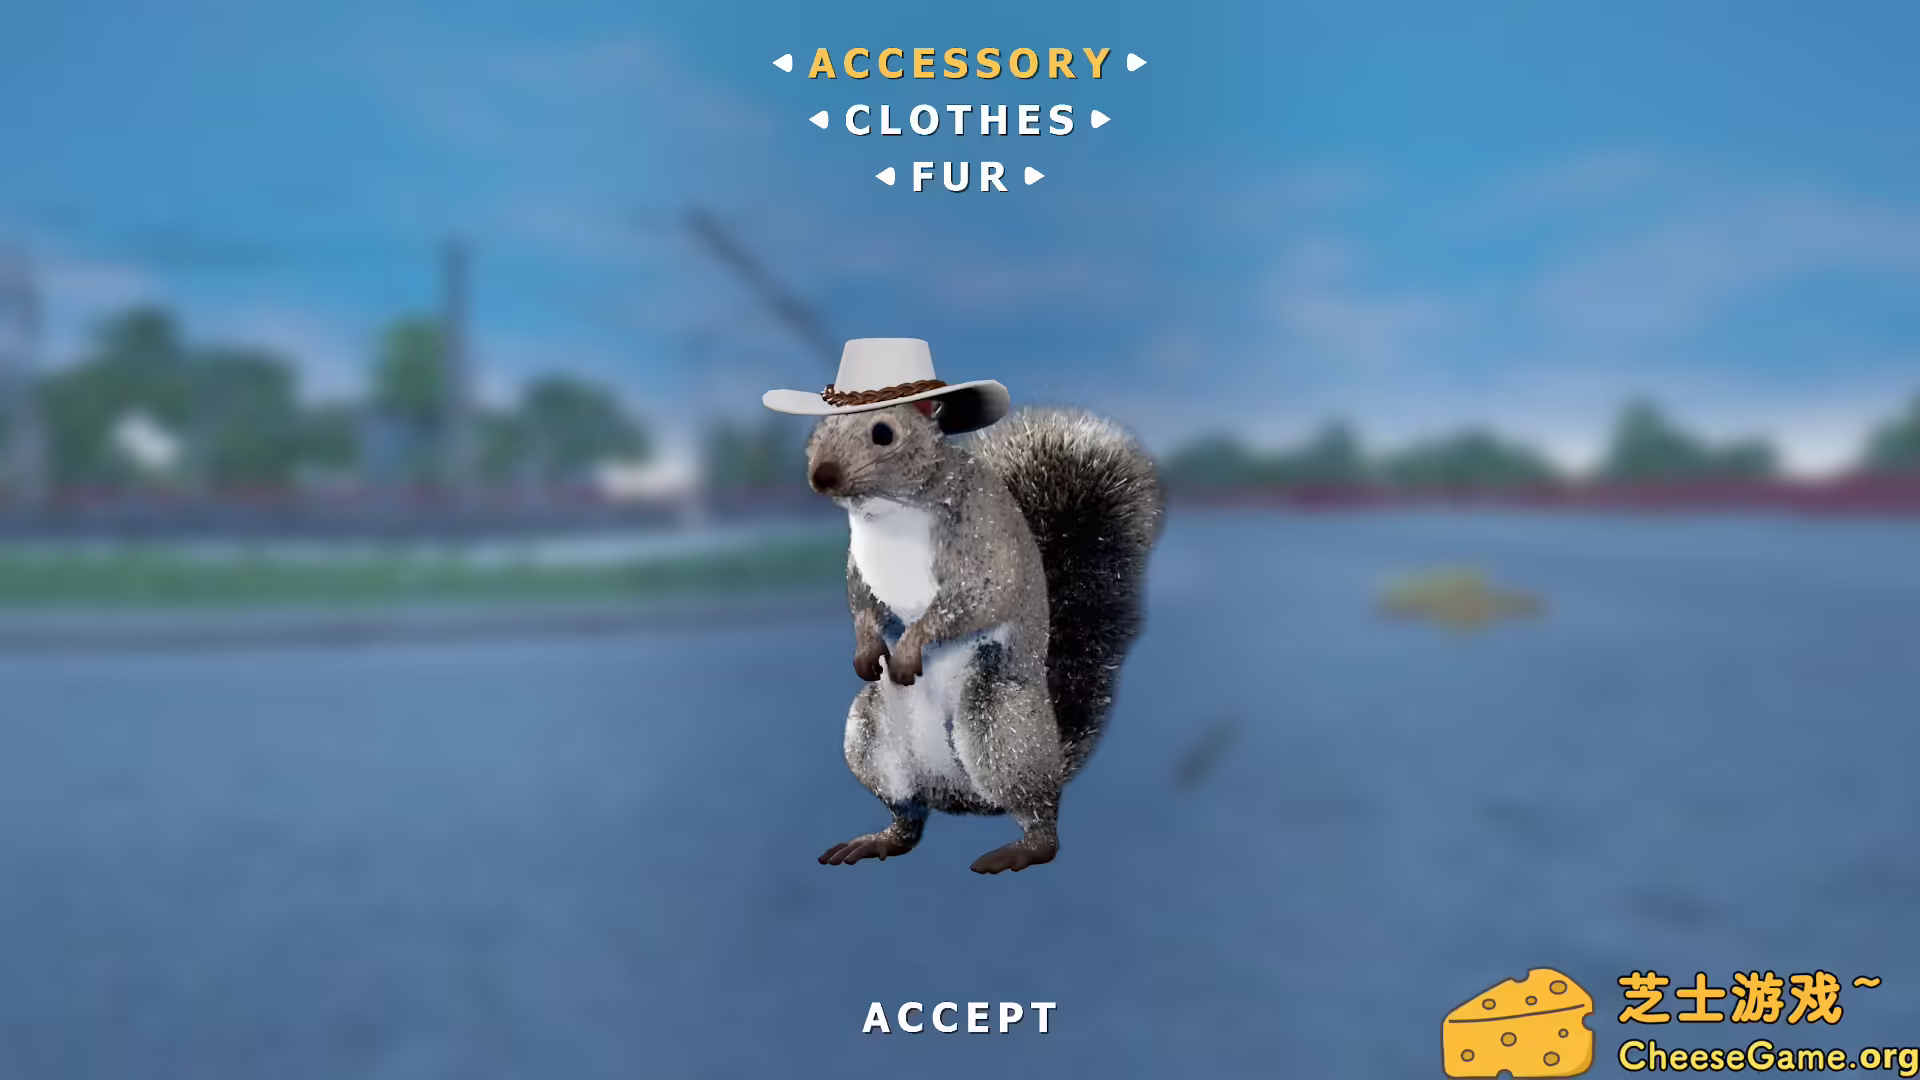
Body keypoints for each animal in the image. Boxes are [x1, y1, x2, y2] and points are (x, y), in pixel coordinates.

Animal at [800, 401, 1163, 873]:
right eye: (819, 427)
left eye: (883, 433)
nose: (820, 475)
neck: (885, 513)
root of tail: (960, 795)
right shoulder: (861, 567)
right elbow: (861, 601)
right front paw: (867, 650)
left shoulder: (980, 543)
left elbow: (979, 597)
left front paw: (909, 649)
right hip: (868, 735)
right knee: (909, 819)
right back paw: (880, 840)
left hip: (997, 724)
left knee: (1039, 816)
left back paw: (1024, 848)